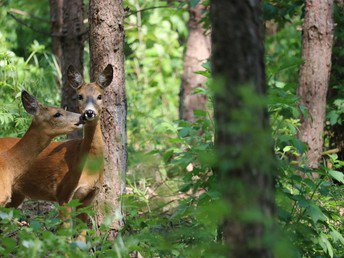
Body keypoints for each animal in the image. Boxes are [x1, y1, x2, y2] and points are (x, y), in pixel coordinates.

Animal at [0, 65, 113, 238]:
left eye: (99, 96)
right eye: (79, 96)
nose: (87, 114)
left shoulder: (88, 198)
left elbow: (82, 236)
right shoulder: (63, 194)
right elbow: (65, 235)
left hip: (16, 196)